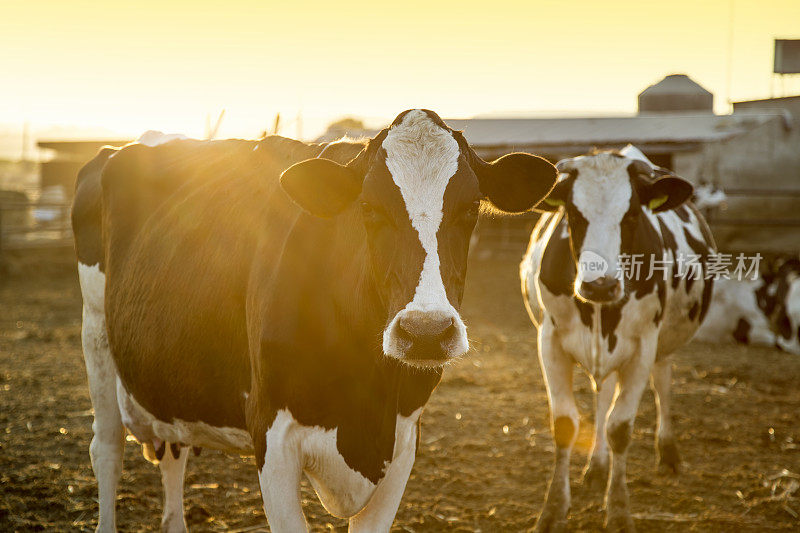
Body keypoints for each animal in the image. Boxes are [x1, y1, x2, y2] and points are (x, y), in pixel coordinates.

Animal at [72, 109, 556, 532]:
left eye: (471, 208)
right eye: (368, 208)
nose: (425, 332)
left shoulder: (403, 442)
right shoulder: (272, 436)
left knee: (174, 453)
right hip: (95, 331)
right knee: (106, 449)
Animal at [520, 147, 716, 532]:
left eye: (631, 216)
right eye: (573, 215)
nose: (600, 285)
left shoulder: (642, 346)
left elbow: (621, 428)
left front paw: (620, 511)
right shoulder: (549, 341)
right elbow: (565, 424)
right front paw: (552, 510)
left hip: (661, 345)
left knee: (662, 382)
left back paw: (668, 452)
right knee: (603, 394)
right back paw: (597, 466)